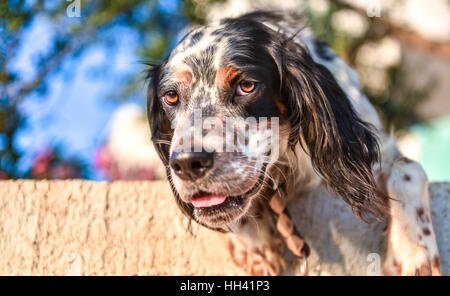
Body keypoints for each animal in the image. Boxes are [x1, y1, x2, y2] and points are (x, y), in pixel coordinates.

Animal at [146, 11, 442, 276]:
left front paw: (415, 253)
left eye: (246, 85)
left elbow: (410, 170)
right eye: (171, 96)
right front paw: (253, 245)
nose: (187, 163)